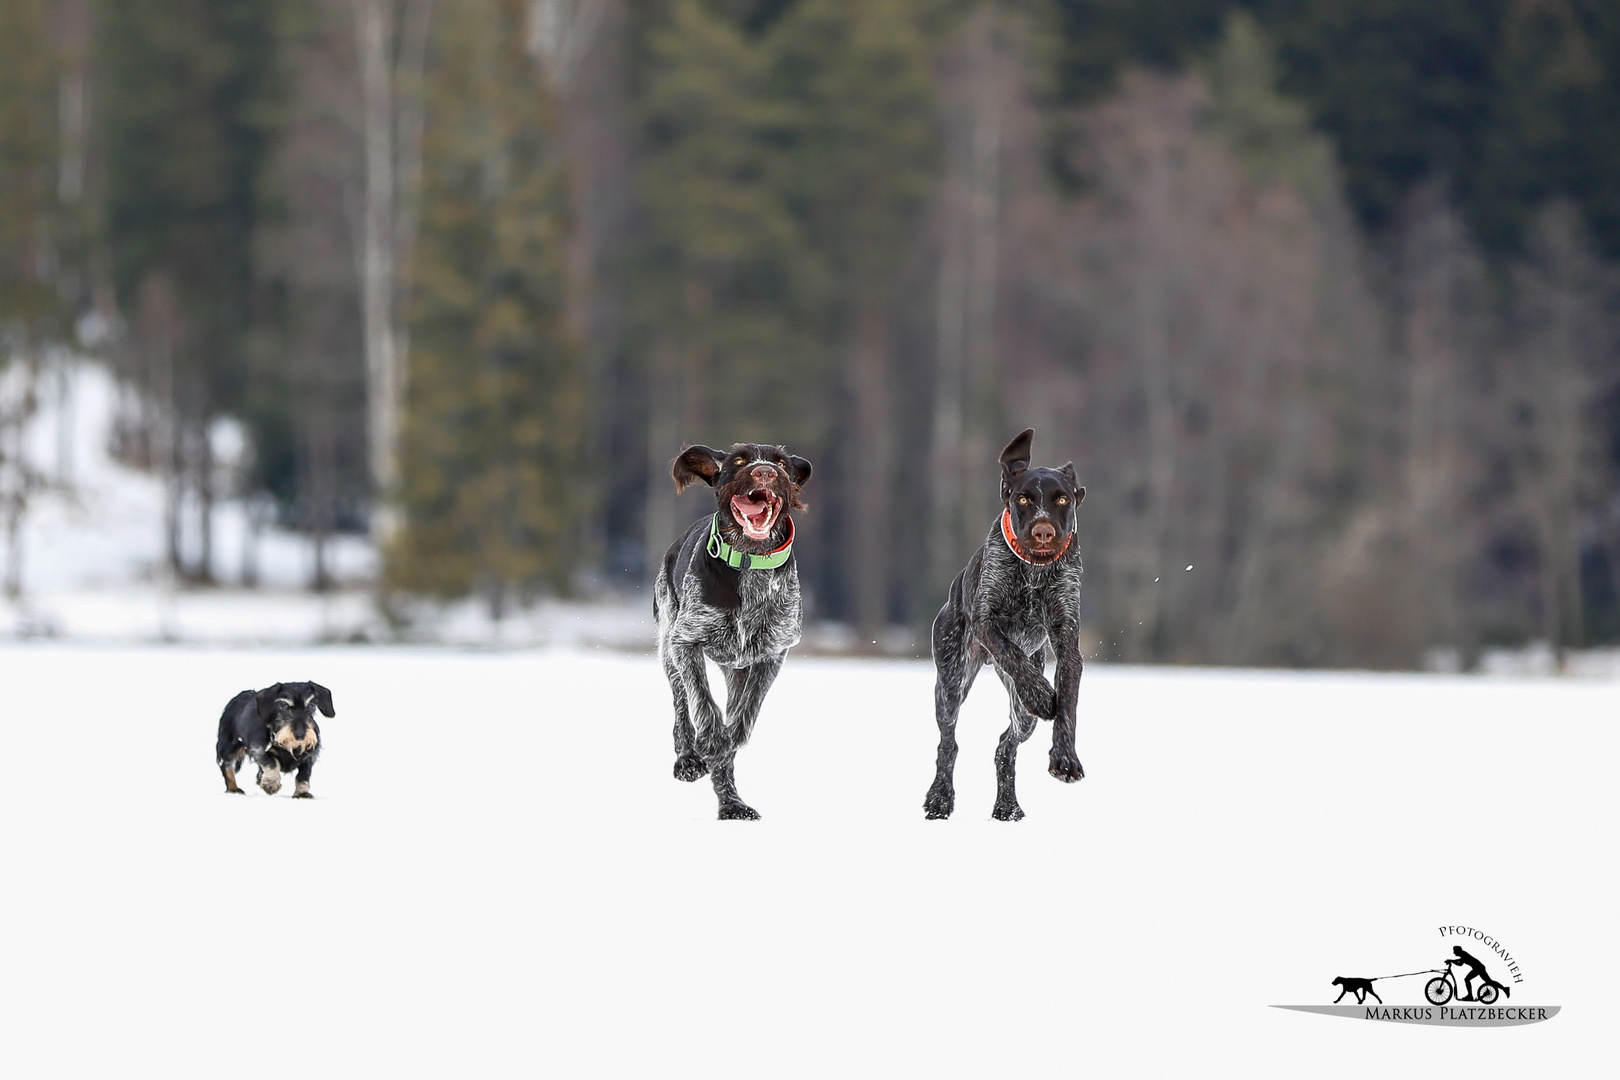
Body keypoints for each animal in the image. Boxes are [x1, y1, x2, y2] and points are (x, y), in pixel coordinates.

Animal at [651, 440, 810, 819]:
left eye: (782, 463)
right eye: (738, 460)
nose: (765, 472)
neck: (750, 561)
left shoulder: (772, 653)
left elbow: (744, 715)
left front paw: (727, 741)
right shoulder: (686, 642)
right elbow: (703, 703)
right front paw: (709, 741)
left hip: (734, 668)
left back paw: (732, 804)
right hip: (668, 646)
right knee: (681, 705)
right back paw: (689, 759)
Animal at [926, 430, 1088, 819]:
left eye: (1062, 499)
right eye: (1023, 498)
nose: (1043, 532)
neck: (1034, 570)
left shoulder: (1068, 641)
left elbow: (1068, 703)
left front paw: (1065, 759)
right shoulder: (985, 622)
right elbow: (1010, 651)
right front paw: (1041, 694)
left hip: (1021, 717)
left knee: (1005, 746)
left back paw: (1008, 806)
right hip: (951, 682)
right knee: (948, 743)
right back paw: (940, 798)